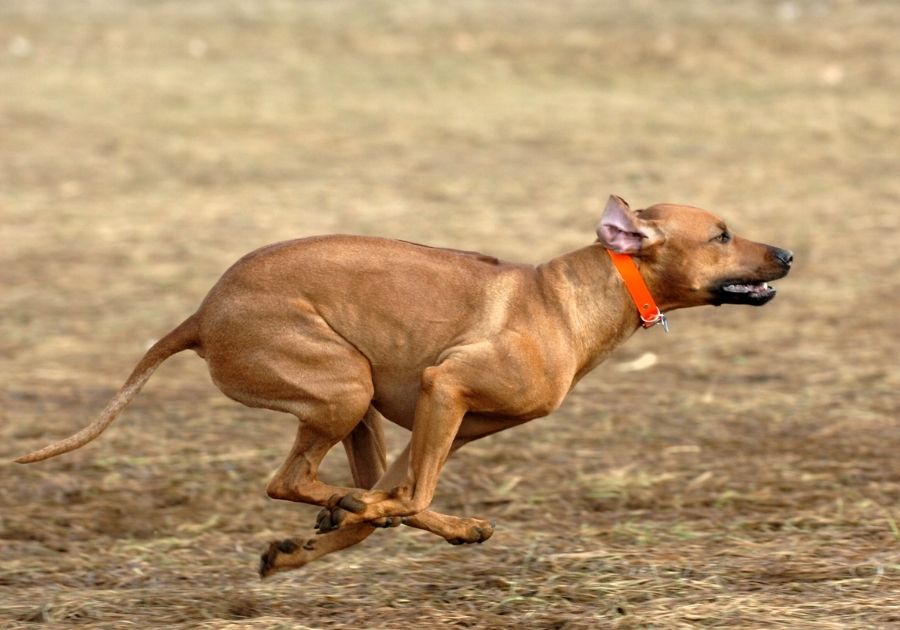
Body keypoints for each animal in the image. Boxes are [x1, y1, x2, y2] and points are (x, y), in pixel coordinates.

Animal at [12, 196, 788, 576]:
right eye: (721, 235)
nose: (786, 252)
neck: (572, 299)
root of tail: (202, 314)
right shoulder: (446, 387)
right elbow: (411, 499)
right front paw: (410, 520)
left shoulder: (443, 426)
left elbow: (388, 507)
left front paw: (303, 550)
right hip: (344, 385)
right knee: (289, 480)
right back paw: (355, 503)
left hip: (357, 406)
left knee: (335, 484)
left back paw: (360, 510)